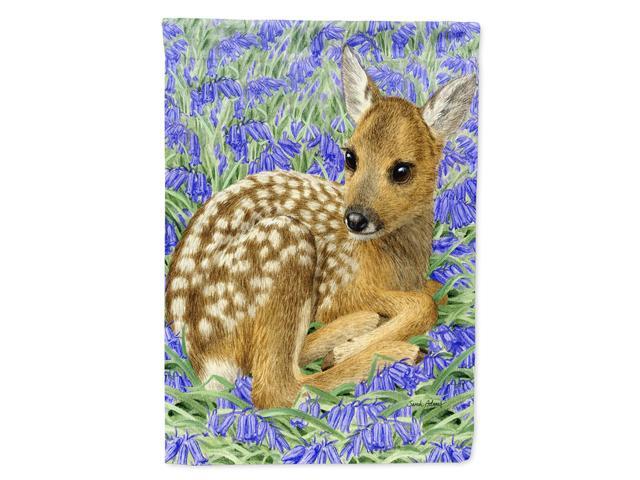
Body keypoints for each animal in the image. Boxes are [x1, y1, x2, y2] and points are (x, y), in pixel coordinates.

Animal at [166, 46, 476, 409]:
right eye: (350, 157)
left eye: (402, 170)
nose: (355, 218)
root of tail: (201, 357)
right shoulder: (339, 291)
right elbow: (423, 305)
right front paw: (350, 347)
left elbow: (437, 293)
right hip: (285, 244)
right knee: (275, 388)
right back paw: (388, 349)